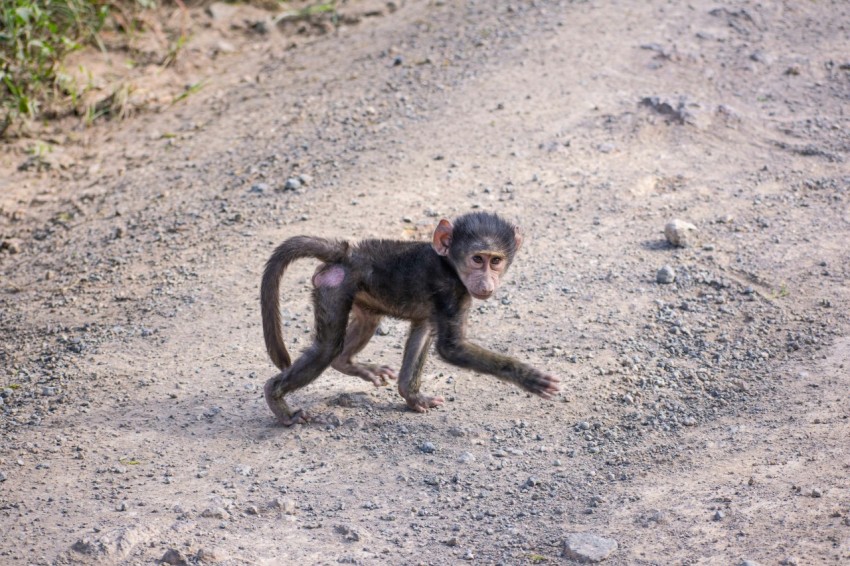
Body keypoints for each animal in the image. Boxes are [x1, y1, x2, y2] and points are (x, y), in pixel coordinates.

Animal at [260, 211, 560, 425]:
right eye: (477, 259)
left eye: (495, 261)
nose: (487, 284)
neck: (449, 263)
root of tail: (347, 253)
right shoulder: (451, 291)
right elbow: (451, 348)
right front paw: (528, 377)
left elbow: (423, 331)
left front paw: (413, 397)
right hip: (334, 286)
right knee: (326, 348)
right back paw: (278, 401)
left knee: (363, 327)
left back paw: (347, 363)